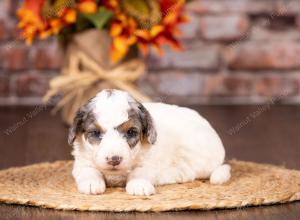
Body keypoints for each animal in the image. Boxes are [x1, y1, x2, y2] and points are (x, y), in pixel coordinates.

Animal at [69, 89, 231, 196]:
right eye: (96, 133)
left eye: (131, 132)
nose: (114, 159)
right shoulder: (81, 162)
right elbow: (88, 170)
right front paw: (91, 182)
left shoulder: (149, 162)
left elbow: (140, 171)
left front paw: (138, 184)